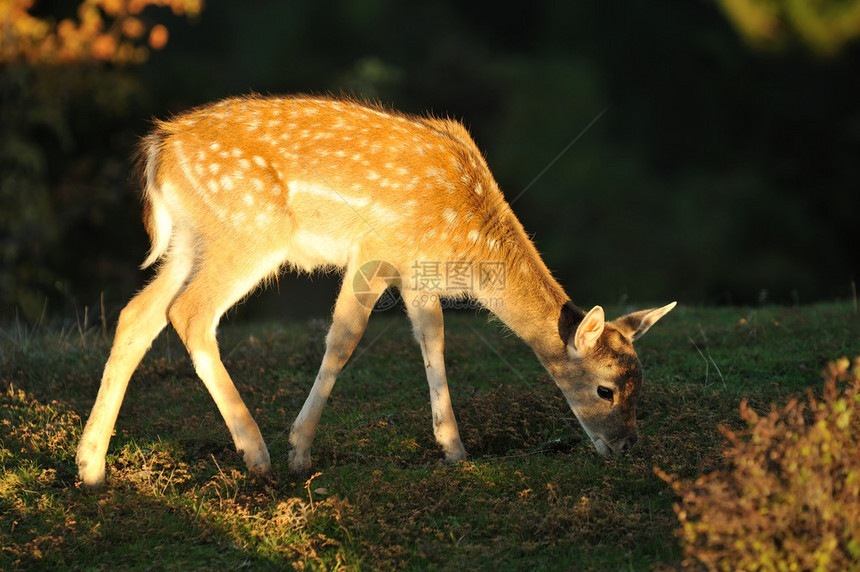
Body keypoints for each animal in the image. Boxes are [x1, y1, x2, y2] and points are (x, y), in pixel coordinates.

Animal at [75, 95, 672, 488]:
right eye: (605, 390)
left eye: (640, 384)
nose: (626, 446)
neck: (467, 238)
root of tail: (159, 147)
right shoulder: (376, 248)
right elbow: (344, 338)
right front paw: (300, 450)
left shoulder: (415, 270)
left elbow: (433, 340)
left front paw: (454, 449)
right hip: (248, 230)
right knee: (191, 313)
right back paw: (256, 452)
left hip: (190, 241)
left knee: (137, 314)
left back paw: (91, 466)